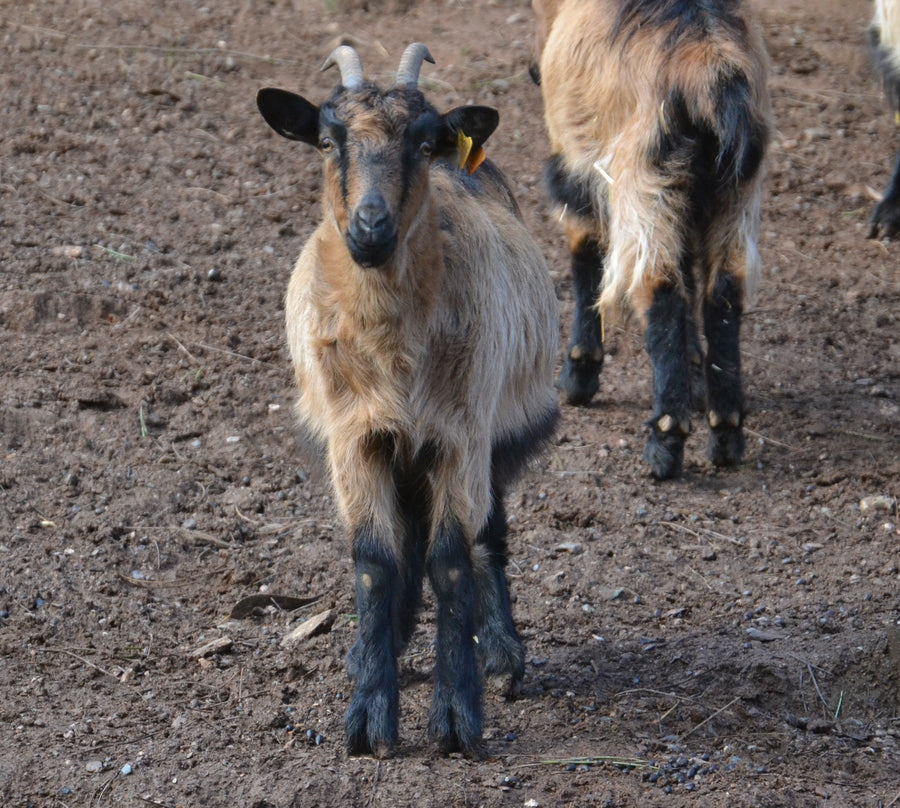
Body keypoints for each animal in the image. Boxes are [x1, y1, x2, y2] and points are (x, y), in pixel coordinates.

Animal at [256, 43, 559, 757]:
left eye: (421, 142)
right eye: (327, 139)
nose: (371, 226)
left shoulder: (460, 434)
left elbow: (452, 561)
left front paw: (455, 717)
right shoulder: (354, 438)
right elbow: (375, 562)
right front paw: (370, 713)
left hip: (494, 433)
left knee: (487, 538)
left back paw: (502, 653)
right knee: (407, 543)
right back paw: (387, 645)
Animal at [531, 0, 771, 479]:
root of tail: (712, 75)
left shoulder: (580, 166)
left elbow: (586, 258)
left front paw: (578, 377)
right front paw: (694, 371)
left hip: (646, 183)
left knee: (659, 289)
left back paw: (665, 442)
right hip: (733, 194)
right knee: (723, 291)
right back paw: (726, 433)